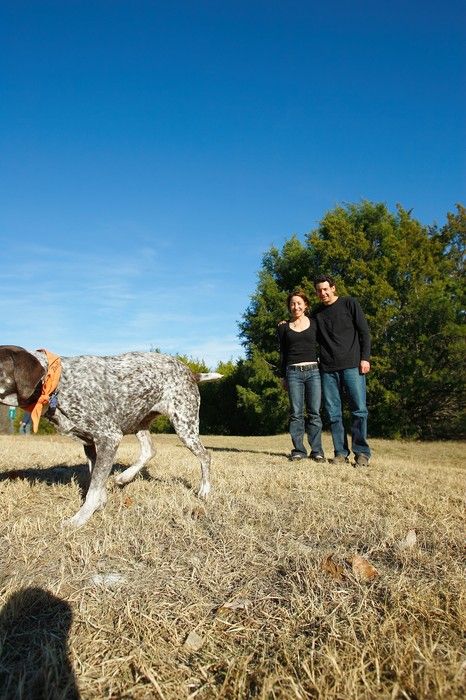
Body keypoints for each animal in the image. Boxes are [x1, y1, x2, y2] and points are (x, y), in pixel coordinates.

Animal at [0, 344, 222, 524]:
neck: (56, 385)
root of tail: (191, 372)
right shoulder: (90, 444)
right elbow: (97, 483)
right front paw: (100, 504)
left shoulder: (109, 438)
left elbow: (93, 490)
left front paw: (79, 519)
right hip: (138, 422)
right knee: (150, 450)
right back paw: (125, 476)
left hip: (184, 425)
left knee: (206, 456)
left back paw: (204, 489)